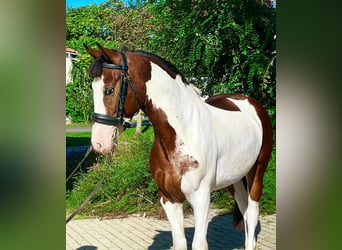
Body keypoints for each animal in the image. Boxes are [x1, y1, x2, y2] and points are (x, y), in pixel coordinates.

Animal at [85, 44, 272, 250]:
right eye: (92, 88)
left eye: (109, 90)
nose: (99, 142)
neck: (182, 132)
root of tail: (251, 104)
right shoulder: (168, 198)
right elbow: (179, 242)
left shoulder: (201, 198)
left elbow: (199, 244)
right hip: (235, 179)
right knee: (244, 210)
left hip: (257, 172)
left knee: (252, 213)